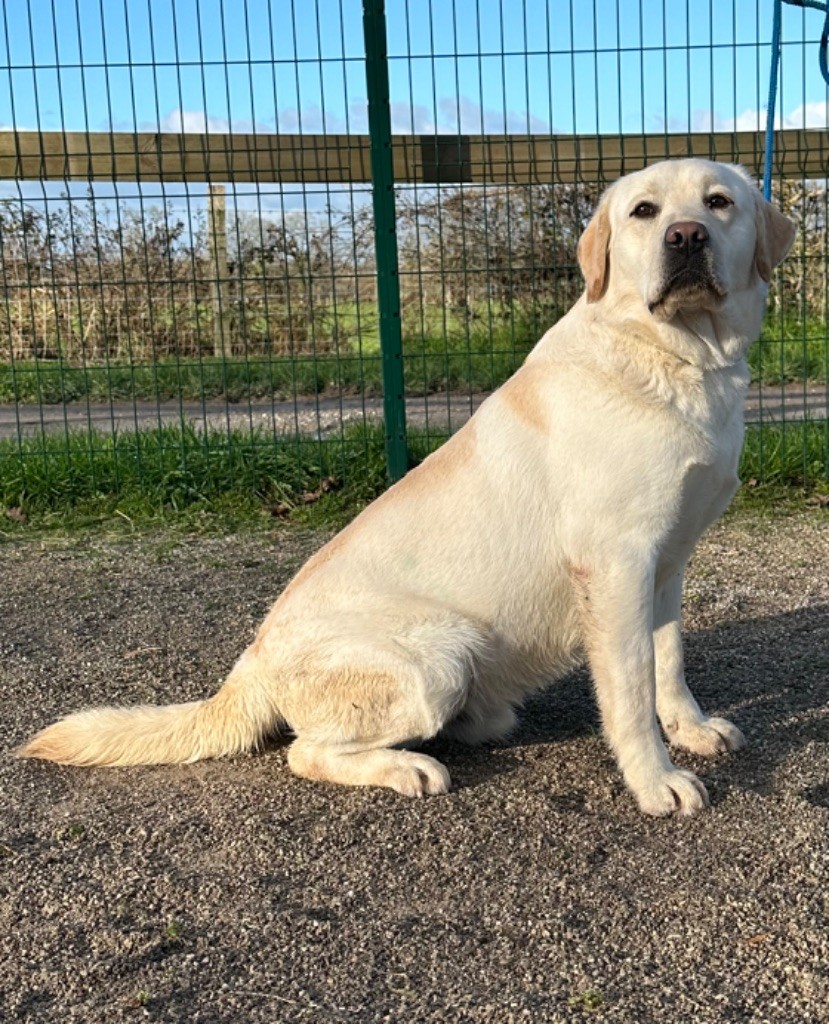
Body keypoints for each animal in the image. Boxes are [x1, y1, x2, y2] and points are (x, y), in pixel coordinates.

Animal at [19, 159, 795, 817]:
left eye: (718, 202)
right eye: (643, 211)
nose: (685, 237)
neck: (678, 358)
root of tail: (250, 663)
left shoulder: (665, 565)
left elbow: (668, 666)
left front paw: (690, 730)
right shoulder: (614, 567)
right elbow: (631, 691)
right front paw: (655, 780)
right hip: (440, 656)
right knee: (305, 751)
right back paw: (405, 767)